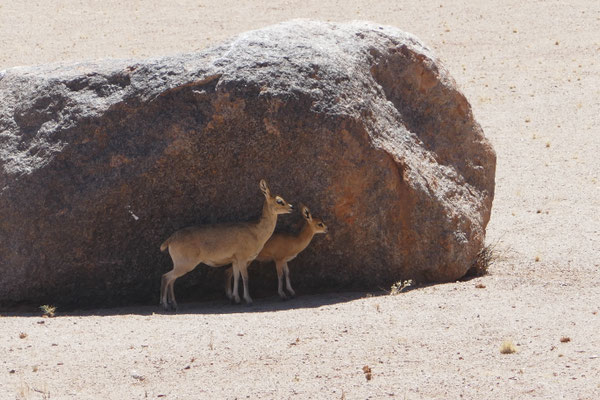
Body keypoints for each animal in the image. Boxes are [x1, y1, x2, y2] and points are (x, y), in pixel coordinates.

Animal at [158, 180, 292, 310]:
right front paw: (248, 300)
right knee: (166, 277)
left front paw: (236, 299)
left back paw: (174, 305)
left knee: (171, 279)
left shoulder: (235, 260)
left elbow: (236, 277)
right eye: (279, 201)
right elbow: (245, 278)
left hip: (180, 264)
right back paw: (165, 305)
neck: (256, 232)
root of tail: (170, 240)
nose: (291, 207)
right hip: (185, 263)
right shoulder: (242, 258)